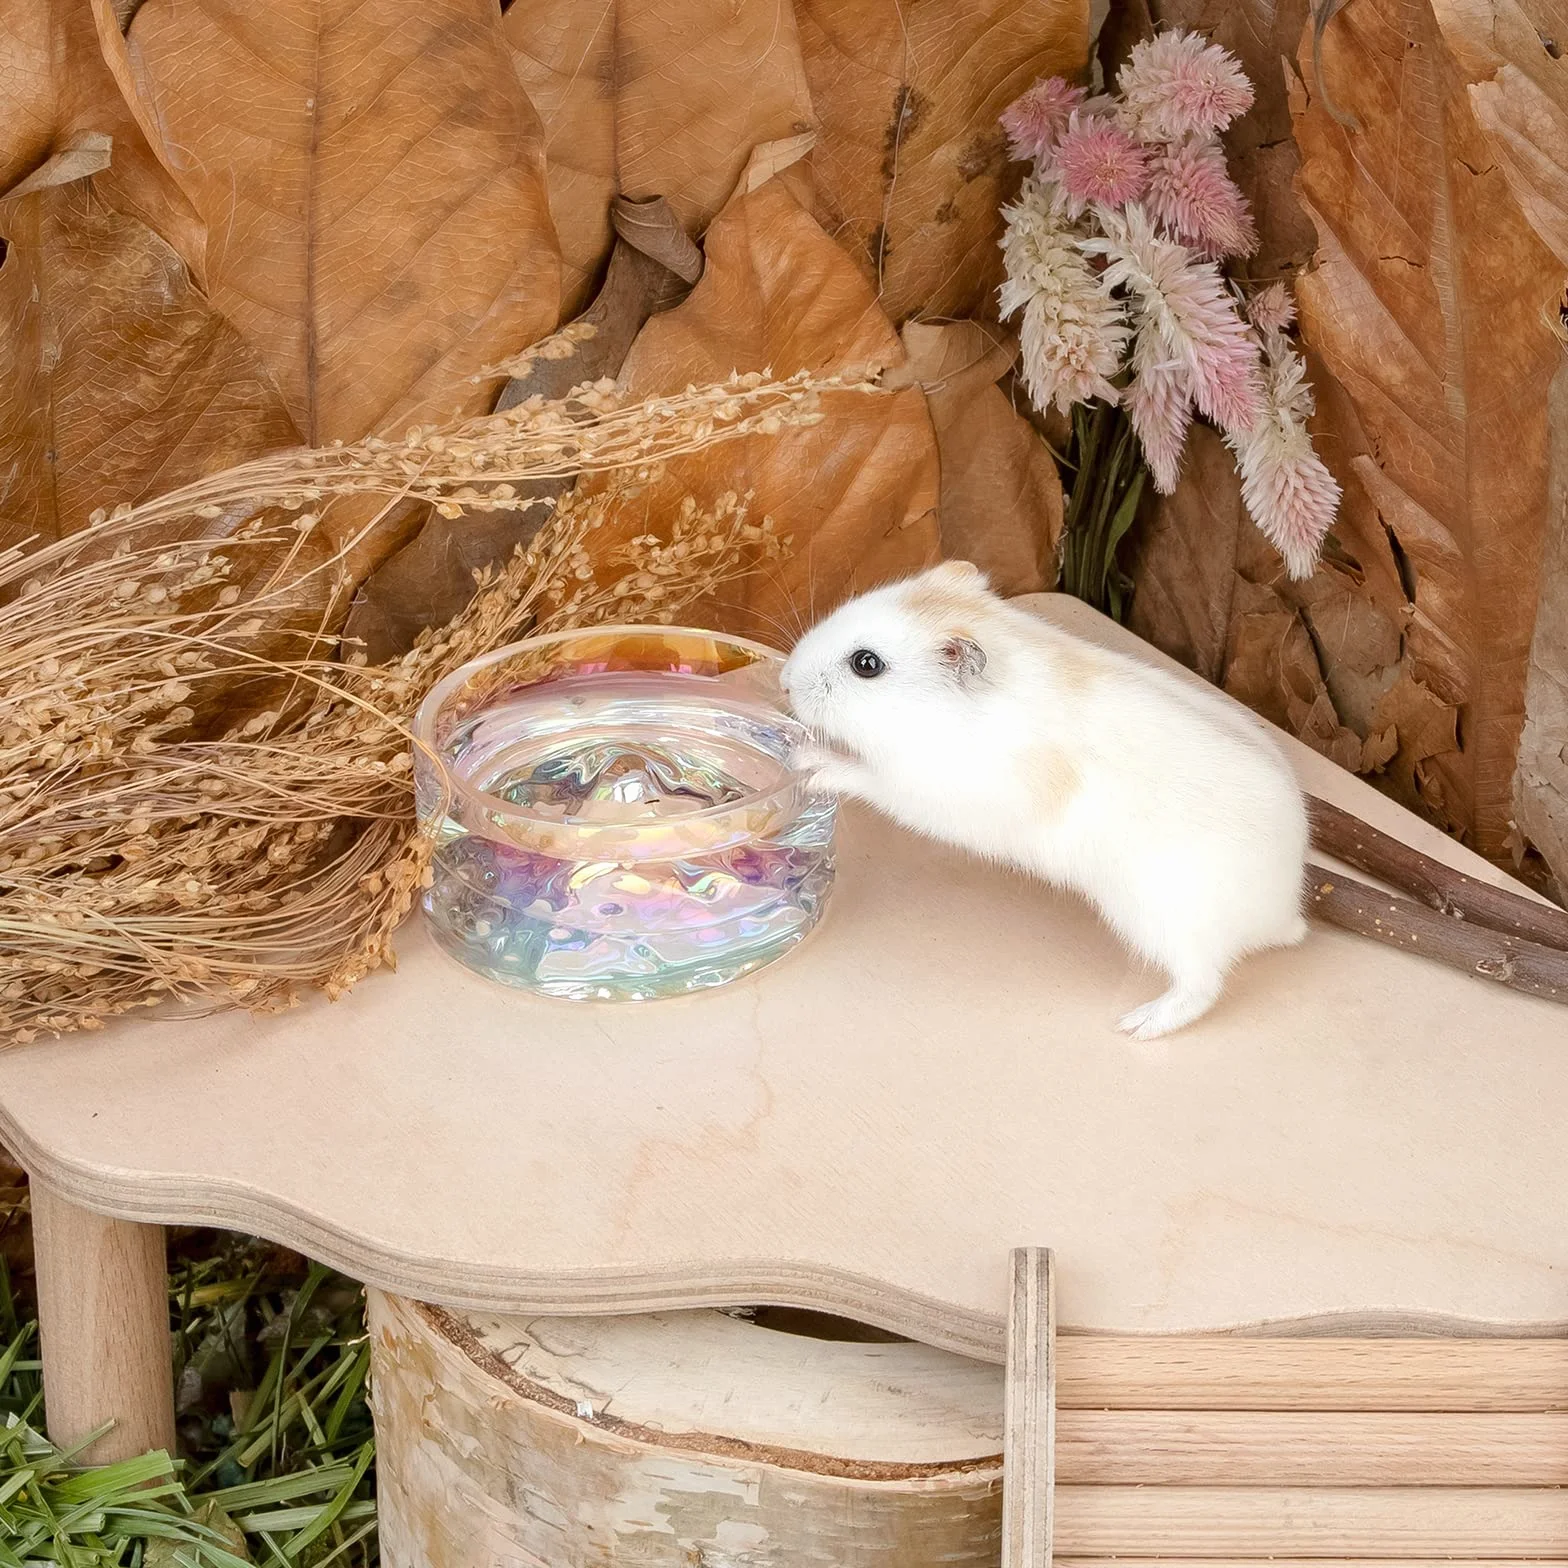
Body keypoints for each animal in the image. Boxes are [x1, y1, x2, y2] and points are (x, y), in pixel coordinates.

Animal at [780, 561, 1309, 1039]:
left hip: (1167, 923)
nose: (783, 681)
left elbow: (863, 776)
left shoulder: (921, 791)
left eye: (866, 664)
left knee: (1202, 988)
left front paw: (808, 762)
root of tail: (1283, 911)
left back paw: (1136, 1026)